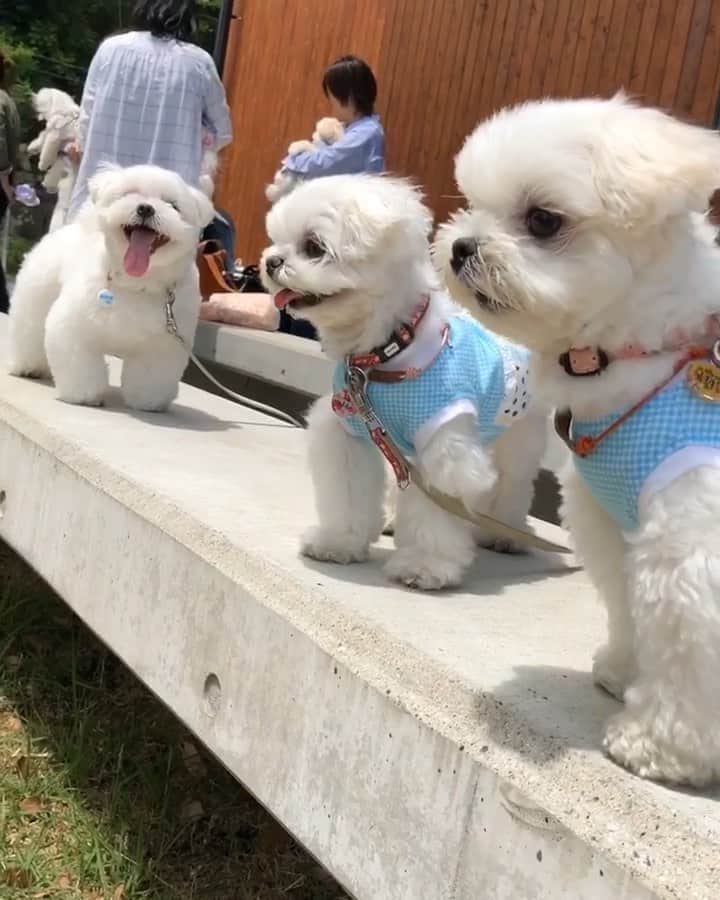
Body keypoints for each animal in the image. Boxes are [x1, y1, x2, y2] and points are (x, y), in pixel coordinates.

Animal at [8, 165, 214, 412]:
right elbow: (80, 364)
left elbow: (151, 375)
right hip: (35, 298)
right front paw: (83, 395)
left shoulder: (163, 344)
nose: (145, 208)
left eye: (173, 205)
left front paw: (148, 401)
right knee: (28, 331)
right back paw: (27, 366)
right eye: (128, 194)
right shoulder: (74, 328)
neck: (136, 283)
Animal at [260, 174, 544, 592]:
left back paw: (505, 533)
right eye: (277, 241)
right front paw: (339, 543)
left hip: (519, 435)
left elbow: (436, 510)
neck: (385, 353)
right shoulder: (349, 432)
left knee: (513, 481)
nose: (271, 261)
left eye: (313, 247)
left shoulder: (443, 447)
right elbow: (349, 490)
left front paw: (425, 566)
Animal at [434, 95, 720, 788]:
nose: (460, 246)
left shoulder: (693, 544)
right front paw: (623, 673)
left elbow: (688, 637)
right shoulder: (613, 525)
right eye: (472, 203)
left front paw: (662, 745)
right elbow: (629, 605)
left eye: (543, 220)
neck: (647, 353)